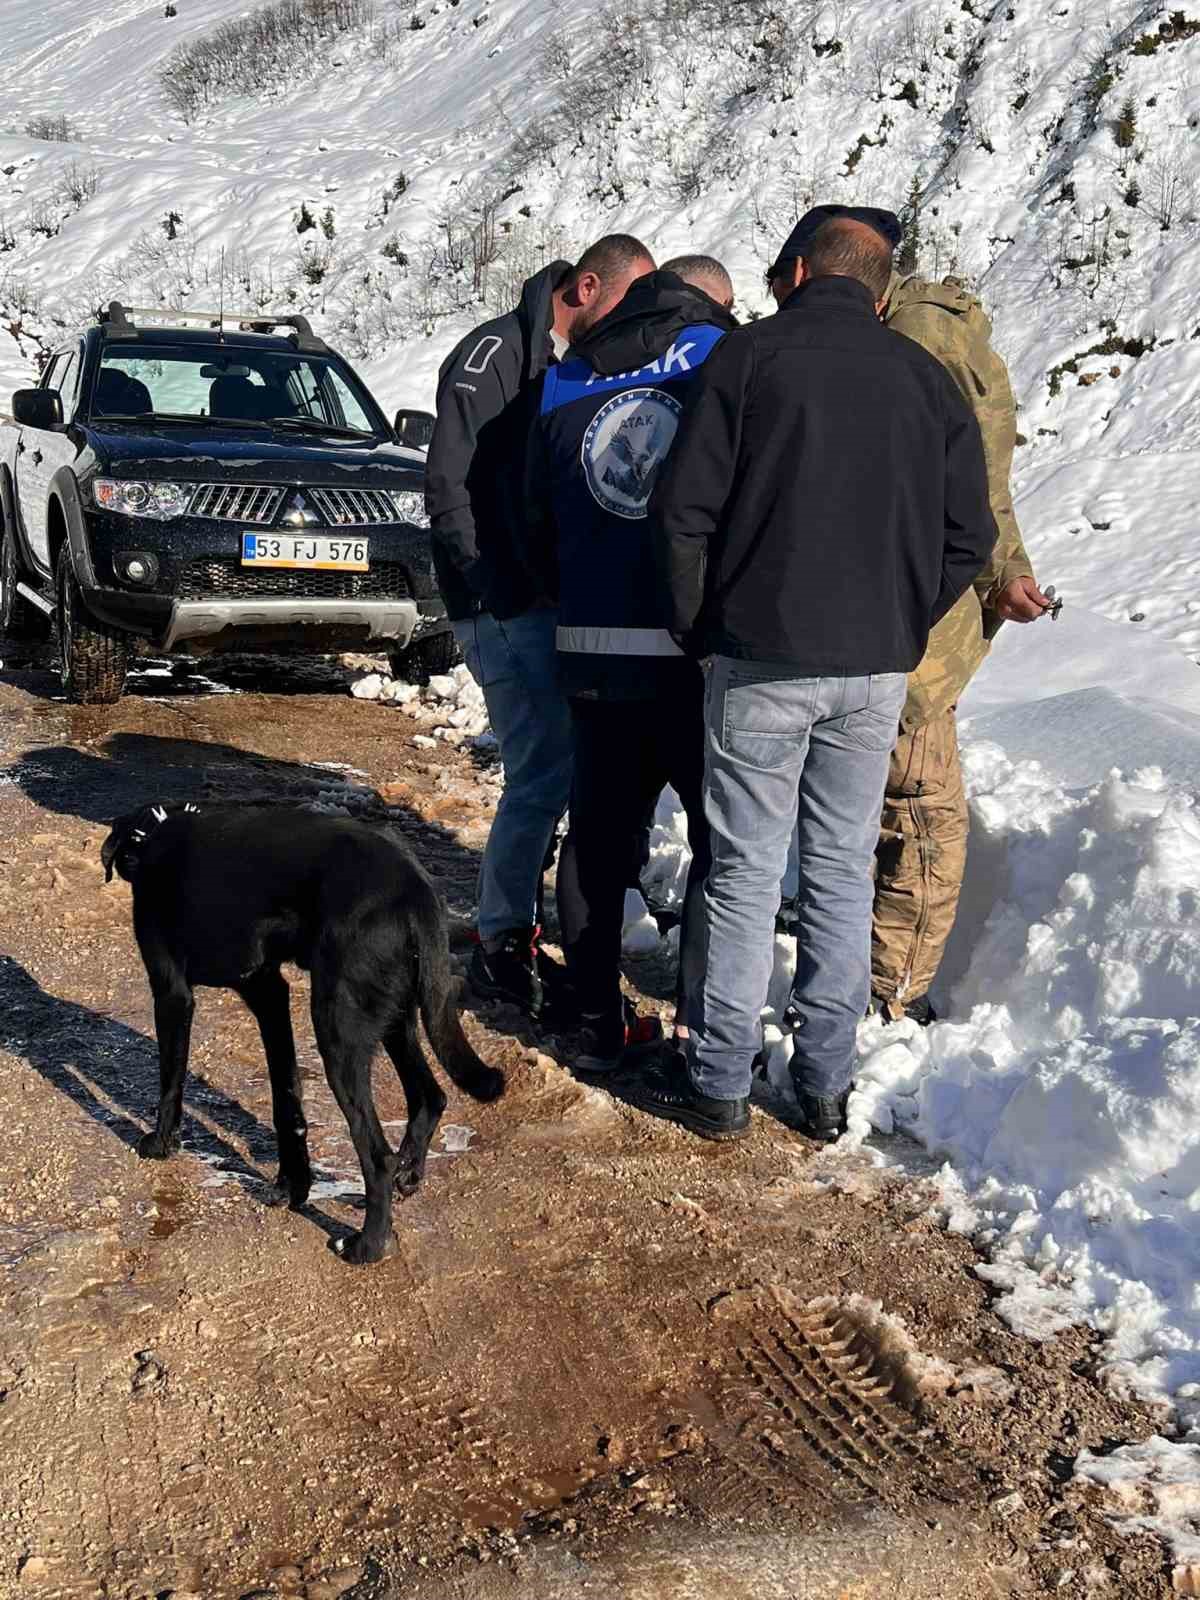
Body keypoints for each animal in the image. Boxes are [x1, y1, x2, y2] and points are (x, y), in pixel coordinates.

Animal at [98, 800, 502, 1260]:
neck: (155, 834)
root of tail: (415, 890)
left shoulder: (172, 993)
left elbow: (170, 1082)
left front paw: (160, 1144)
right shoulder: (267, 994)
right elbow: (286, 1098)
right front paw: (292, 1186)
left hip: (337, 1029)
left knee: (376, 1154)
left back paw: (367, 1245)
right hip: (394, 1019)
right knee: (430, 1097)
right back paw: (409, 1174)